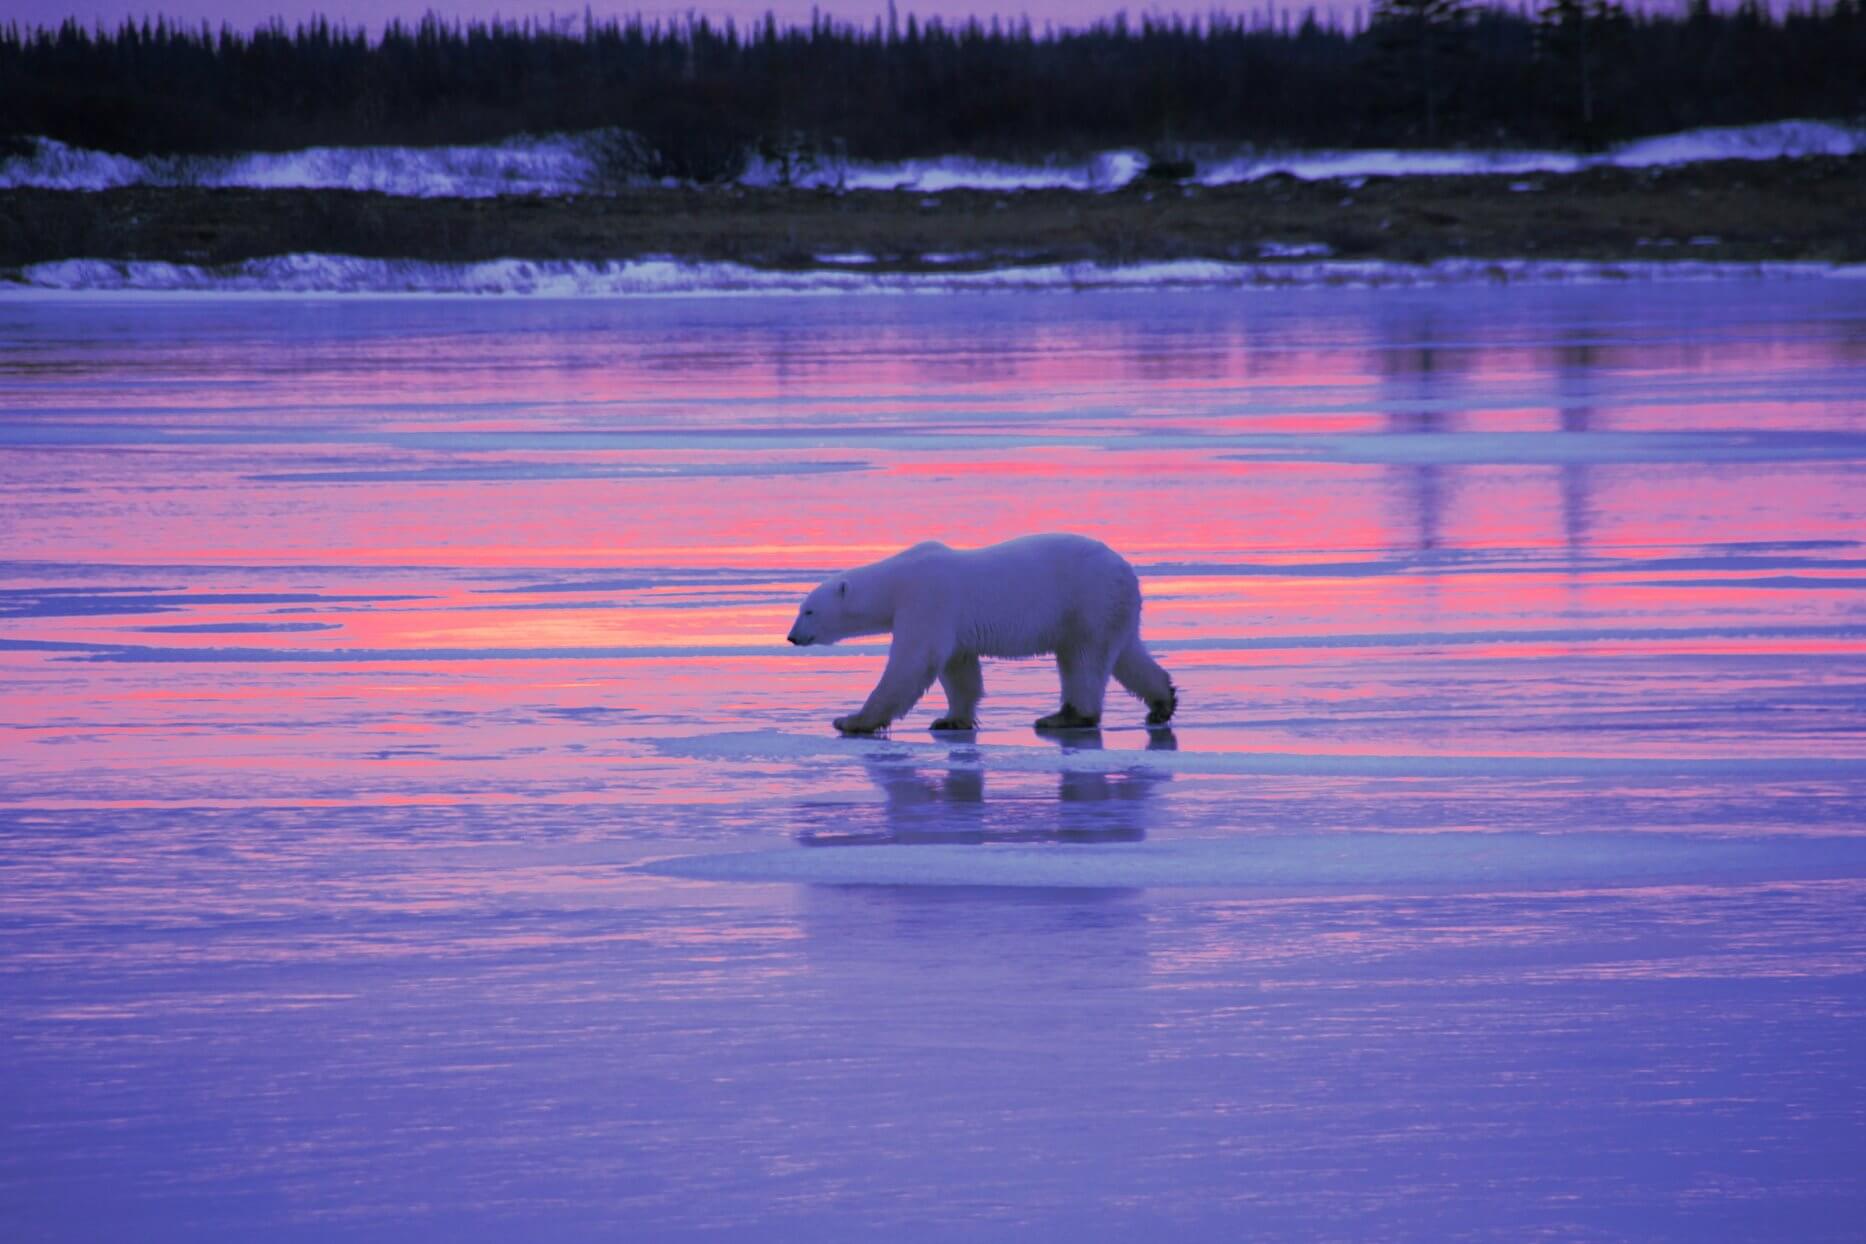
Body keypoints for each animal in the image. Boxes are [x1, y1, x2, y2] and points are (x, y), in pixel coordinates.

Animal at [791, 533, 1179, 731]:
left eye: (808, 610)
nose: (792, 637)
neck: (897, 581)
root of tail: (1125, 569)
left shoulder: (927, 600)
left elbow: (912, 663)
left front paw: (851, 720)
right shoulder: (952, 625)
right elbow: (959, 670)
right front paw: (950, 719)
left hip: (1088, 600)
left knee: (1083, 660)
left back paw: (1064, 717)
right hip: (1112, 609)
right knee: (1126, 655)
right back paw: (1163, 703)